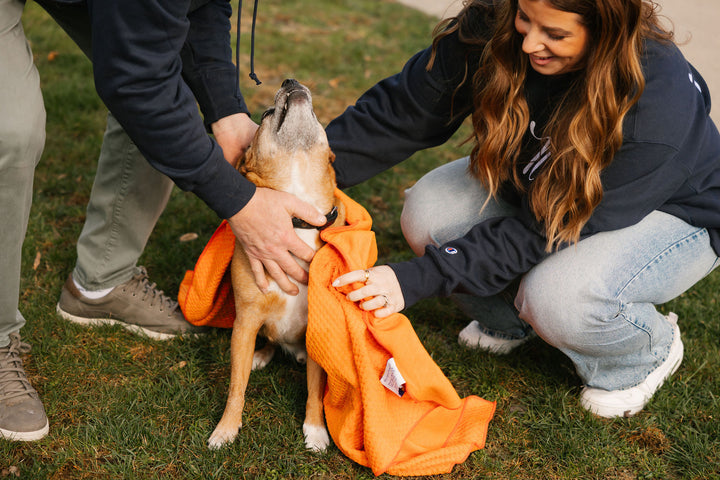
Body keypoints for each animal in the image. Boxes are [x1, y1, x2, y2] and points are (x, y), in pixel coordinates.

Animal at [208, 78, 344, 450]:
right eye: (267, 113)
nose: (290, 81)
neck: (297, 214)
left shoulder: (318, 327)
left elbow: (315, 389)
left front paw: (315, 430)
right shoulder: (245, 321)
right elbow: (236, 387)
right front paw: (226, 428)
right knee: (267, 341)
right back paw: (261, 354)